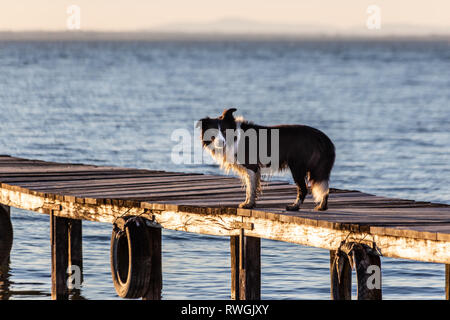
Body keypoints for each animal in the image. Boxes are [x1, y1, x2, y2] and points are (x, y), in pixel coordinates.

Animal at [197, 109, 334, 211]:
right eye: (213, 133)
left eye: (225, 130)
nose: (221, 142)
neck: (234, 137)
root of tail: (322, 138)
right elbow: (251, 187)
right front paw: (249, 203)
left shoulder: (251, 166)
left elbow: (250, 188)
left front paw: (248, 205)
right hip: (317, 168)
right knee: (325, 187)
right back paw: (322, 206)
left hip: (297, 167)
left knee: (303, 189)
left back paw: (294, 207)